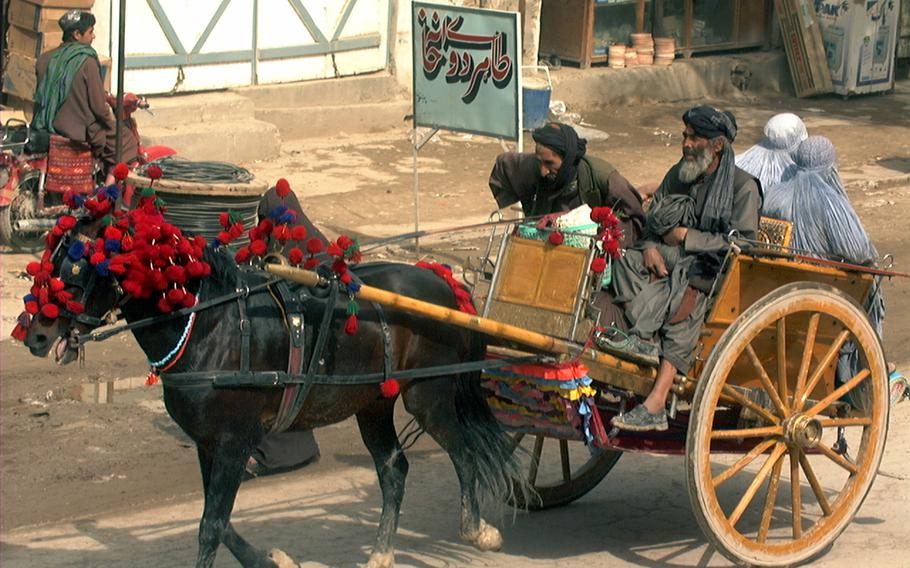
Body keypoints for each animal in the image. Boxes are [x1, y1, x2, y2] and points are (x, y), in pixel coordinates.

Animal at [23, 215, 528, 564]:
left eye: (78, 267)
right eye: (47, 262)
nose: (36, 336)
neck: (211, 324)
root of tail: (442, 282)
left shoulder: (234, 440)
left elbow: (211, 525)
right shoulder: (208, 443)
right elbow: (221, 521)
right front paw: (272, 560)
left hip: (429, 394)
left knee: (463, 451)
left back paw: (476, 530)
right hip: (373, 402)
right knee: (393, 468)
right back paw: (382, 553)